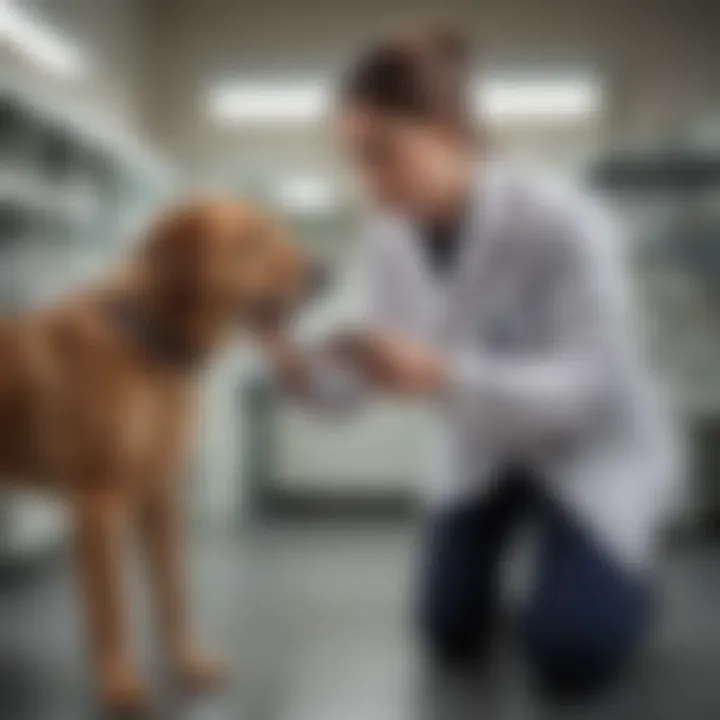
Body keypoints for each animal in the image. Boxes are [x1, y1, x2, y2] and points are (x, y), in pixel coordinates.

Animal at [0, 201, 308, 716]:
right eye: (250, 241)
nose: (325, 272)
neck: (148, 341)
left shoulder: (161, 497)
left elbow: (173, 592)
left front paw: (188, 663)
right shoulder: (99, 506)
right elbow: (112, 610)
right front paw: (119, 683)